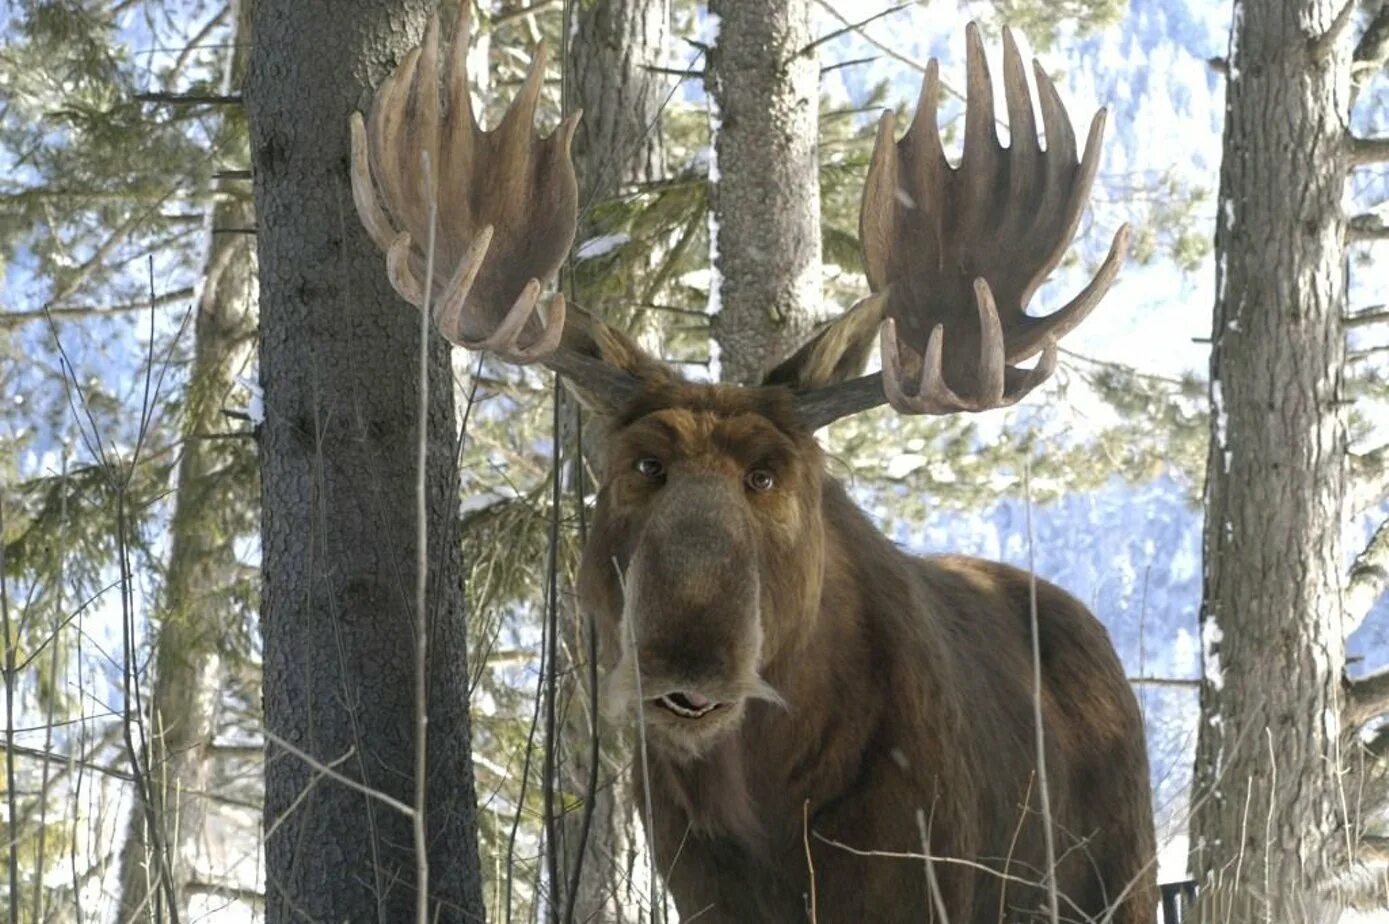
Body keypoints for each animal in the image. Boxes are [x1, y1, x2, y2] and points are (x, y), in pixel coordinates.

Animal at [352, 9, 1155, 922]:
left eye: (768, 477)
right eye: (641, 465)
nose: (687, 659)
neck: (763, 805)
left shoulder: (921, 874)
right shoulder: (698, 884)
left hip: (1117, 874)